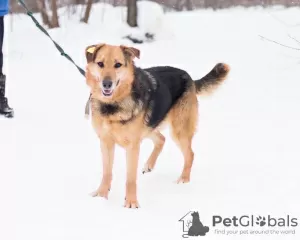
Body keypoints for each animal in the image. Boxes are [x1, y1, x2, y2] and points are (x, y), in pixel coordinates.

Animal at [84, 43, 230, 208]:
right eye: (100, 64)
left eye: (118, 65)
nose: (107, 84)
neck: (113, 105)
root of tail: (189, 78)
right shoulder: (106, 142)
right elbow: (107, 173)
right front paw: (101, 196)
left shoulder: (133, 146)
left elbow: (130, 178)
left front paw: (131, 203)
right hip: (150, 126)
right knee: (161, 139)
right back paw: (149, 165)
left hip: (178, 130)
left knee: (190, 154)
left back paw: (183, 180)